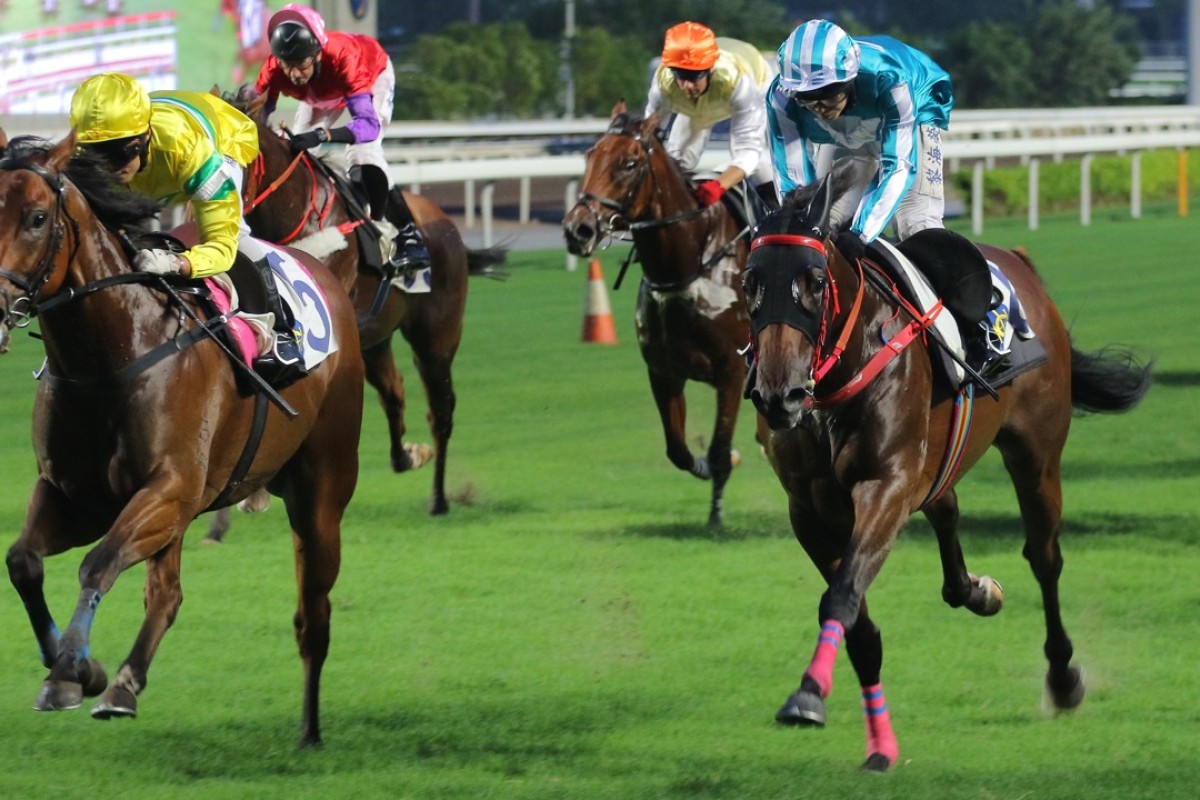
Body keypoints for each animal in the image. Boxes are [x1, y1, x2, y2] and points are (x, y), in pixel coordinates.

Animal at [0, 128, 362, 748]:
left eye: (37, 217)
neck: (111, 353)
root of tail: (324, 275)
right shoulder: (75, 495)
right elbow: (23, 560)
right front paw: (85, 671)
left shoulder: (168, 489)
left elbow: (97, 564)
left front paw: (69, 672)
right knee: (166, 593)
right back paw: (124, 685)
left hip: (320, 494)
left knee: (313, 613)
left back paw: (310, 731)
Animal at [222, 92, 506, 520]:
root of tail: (447, 225)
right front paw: (255, 495)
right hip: (375, 340)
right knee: (394, 391)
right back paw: (407, 456)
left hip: (435, 340)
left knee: (441, 410)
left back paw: (439, 498)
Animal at [561, 101, 748, 525]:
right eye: (590, 154)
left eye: (629, 163)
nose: (578, 229)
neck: (689, 264)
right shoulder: (664, 371)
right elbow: (678, 450)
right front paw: (707, 465)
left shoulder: (733, 371)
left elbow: (719, 448)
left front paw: (716, 514)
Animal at [748, 160, 1152, 767]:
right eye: (750, 282)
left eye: (815, 282)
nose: (779, 395)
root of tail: (1018, 262)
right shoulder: (810, 508)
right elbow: (857, 619)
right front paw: (878, 741)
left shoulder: (885, 484)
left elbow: (842, 594)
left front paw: (808, 694)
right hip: (938, 464)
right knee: (948, 510)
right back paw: (975, 591)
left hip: (1037, 455)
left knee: (1045, 557)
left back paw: (1063, 678)